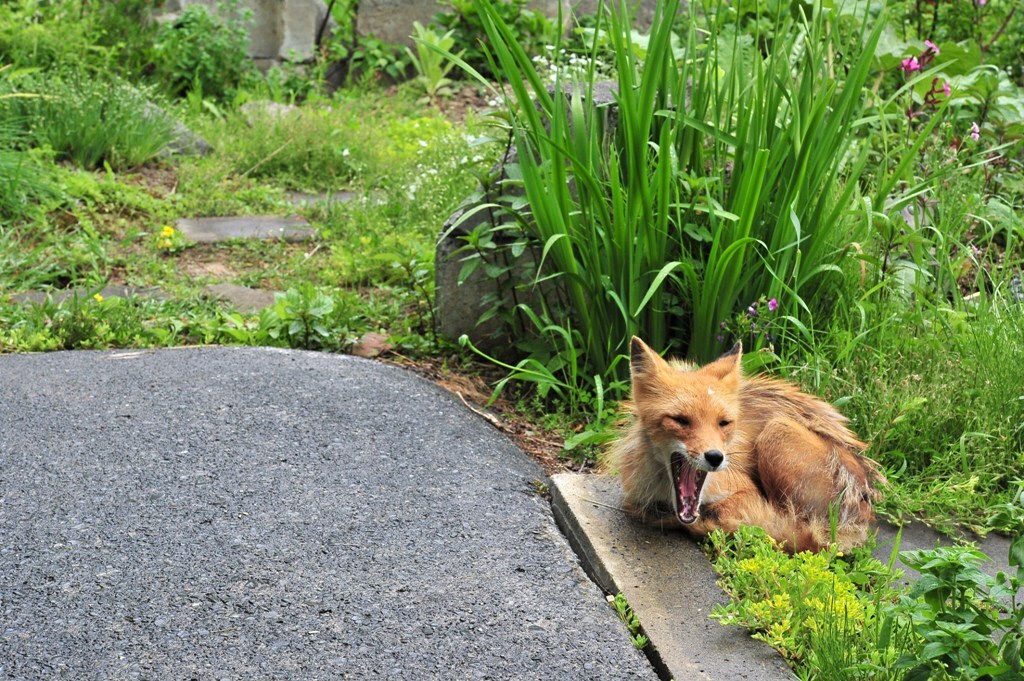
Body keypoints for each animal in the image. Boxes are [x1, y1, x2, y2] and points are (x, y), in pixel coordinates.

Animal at [602, 335, 884, 552]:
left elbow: (731, 512)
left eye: (723, 423)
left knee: (797, 532)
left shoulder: (744, 490)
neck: (665, 493)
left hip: (776, 432)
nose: (715, 457)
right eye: (680, 420)